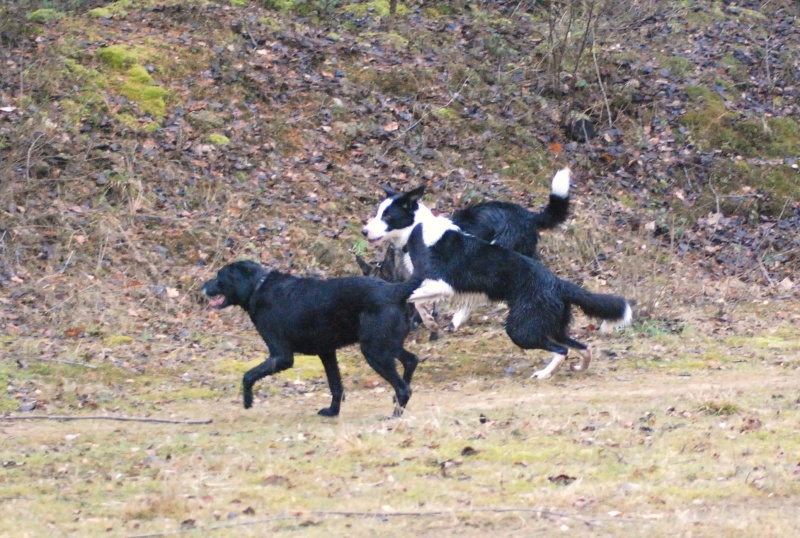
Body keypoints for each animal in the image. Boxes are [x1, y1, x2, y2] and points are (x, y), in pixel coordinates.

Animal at [203, 262, 422, 416]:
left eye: (219, 277)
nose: (202, 285)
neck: (258, 286)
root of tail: (395, 290)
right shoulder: (326, 352)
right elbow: (335, 385)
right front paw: (333, 412)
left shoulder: (281, 356)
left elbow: (248, 375)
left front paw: (247, 401)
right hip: (386, 345)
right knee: (412, 360)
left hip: (375, 351)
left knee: (404, 388)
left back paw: (394, 416)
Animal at [362, 186, 632, 378]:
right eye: (376, 212)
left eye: (387, 215)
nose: (364, 231)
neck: (418, 229)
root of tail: (558, 283)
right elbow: (417, 301)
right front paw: (429, 321)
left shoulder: (442, 283)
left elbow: (411, 298)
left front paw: (429, 321)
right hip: (548, 325)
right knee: (582, 347)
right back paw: (579, 368)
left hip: (521, 329)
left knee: (563, 350)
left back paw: (544, 374)